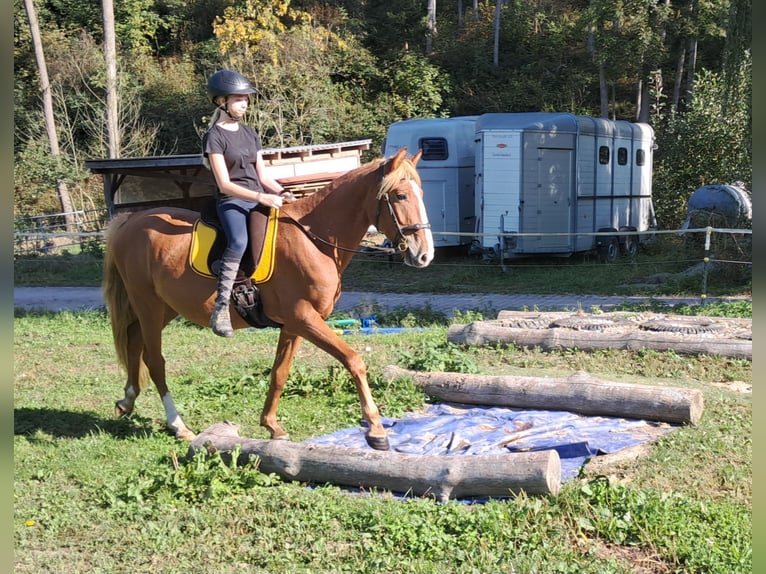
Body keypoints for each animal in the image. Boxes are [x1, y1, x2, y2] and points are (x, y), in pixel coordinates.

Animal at [102, 147, 436, 450]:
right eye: (400, 196)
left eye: (421, 193)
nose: (425, 255)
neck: (312, 241)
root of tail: (131, 221)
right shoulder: (305, 318)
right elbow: (354, 360)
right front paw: (376, 429)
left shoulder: (294, 324)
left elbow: (279, 372)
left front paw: (272, 426)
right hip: (147, 304)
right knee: (154, 360)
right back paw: (178, 425)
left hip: (164, 308)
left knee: (134, 341)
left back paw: (127, 400)